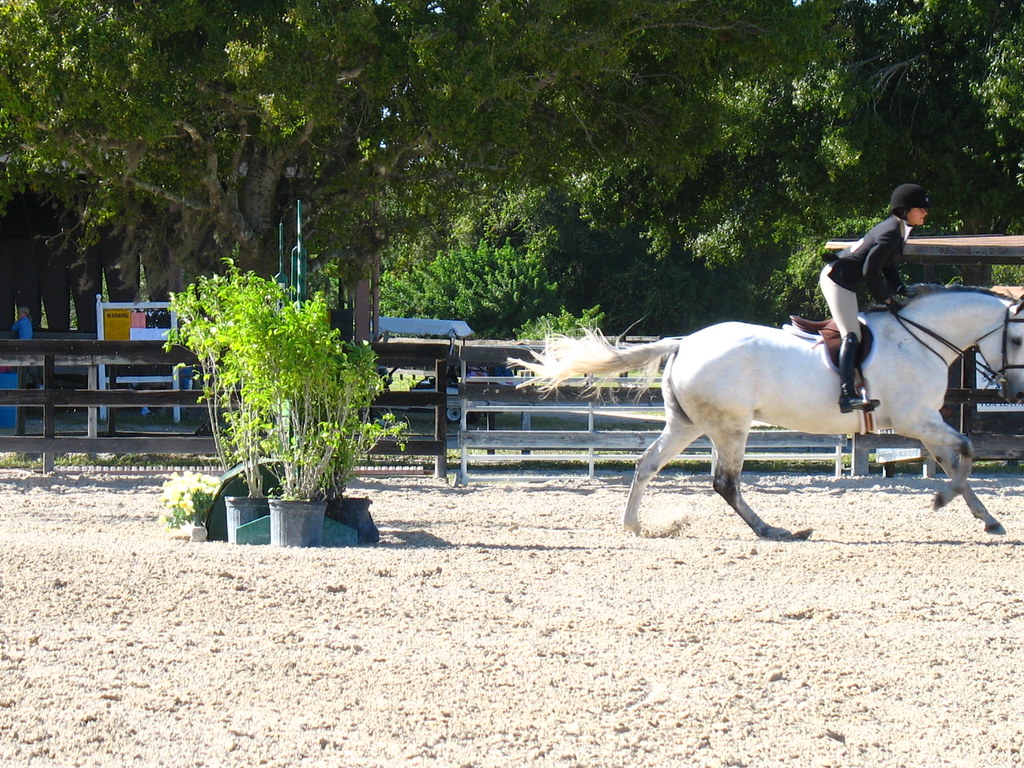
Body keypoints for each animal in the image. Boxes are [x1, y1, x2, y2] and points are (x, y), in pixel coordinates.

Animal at [512, 285, 1024, 540]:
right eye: (1018, 338)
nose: (1014, 389)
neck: (921, 337)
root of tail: (684, 342)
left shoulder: (925, 423)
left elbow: (956, 462)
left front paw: (988, 519)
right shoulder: (916, 419)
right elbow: (965, 451)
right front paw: (942, 501)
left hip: (687, 425)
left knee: (647, 465)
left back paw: (634, 525)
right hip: (730, 426)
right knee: (725, 482)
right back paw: (774, 530)